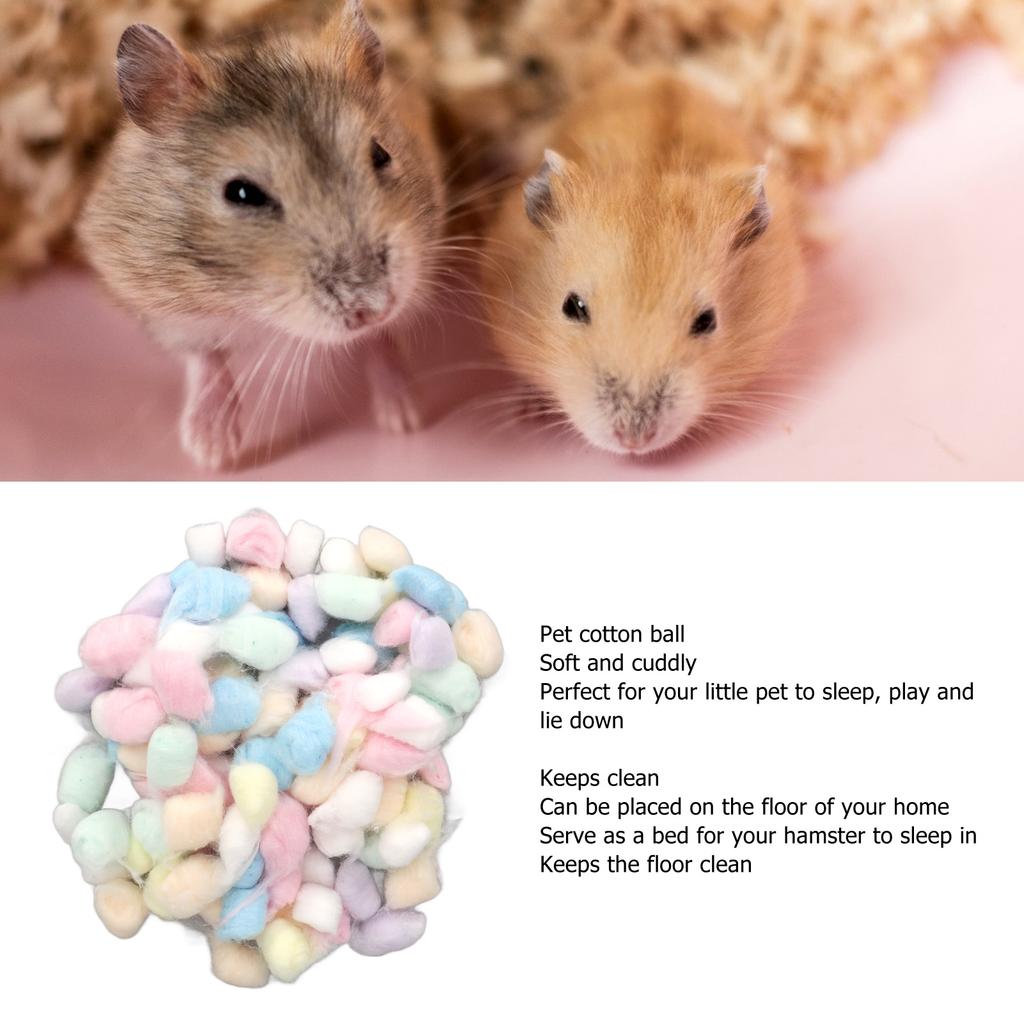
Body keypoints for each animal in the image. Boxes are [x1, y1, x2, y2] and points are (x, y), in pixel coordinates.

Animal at [79, 0, 444, 469]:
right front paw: (212, 455)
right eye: (241, 193)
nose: (373, 308)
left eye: (381, 154)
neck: (255, 310)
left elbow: (383, 342)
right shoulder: (155, 297)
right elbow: (204, 356)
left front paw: (406, 419)